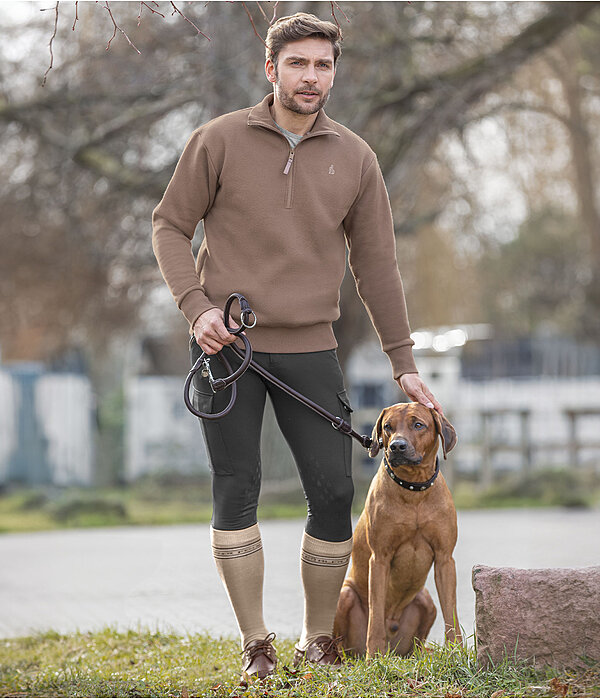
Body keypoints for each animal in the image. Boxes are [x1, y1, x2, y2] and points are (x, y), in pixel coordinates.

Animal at [332, 402, 460, 652]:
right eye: (388, 427)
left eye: (418, 425)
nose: (397, 446)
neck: (413, 489)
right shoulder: (379, 558)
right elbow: (375, 614)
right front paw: (374, 654)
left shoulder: (445, 559)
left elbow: (451, 613)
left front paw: (456, 650)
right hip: (345, 595)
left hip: (425, 600)